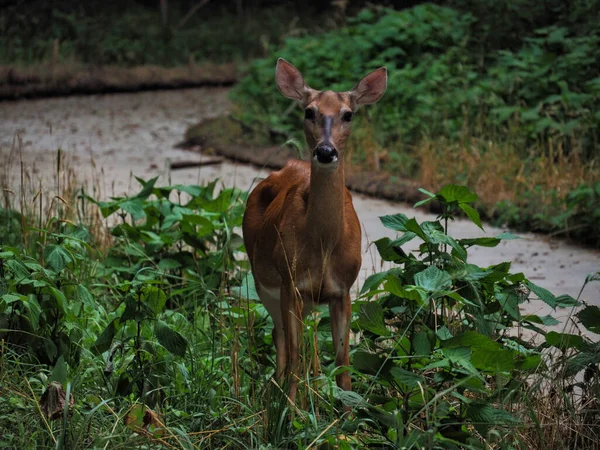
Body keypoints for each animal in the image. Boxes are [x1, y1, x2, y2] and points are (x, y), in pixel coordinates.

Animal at [244, 59, 390, 408]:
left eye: (349, 114)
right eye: (309, 111)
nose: (325, 151)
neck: (323, 246)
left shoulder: (343, 289)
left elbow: (343, 362)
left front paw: (347, 414)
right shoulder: (291, 283)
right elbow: (296, 355)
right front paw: (290, 412)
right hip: (264, 282)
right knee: (280, 336)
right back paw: (275, 392)